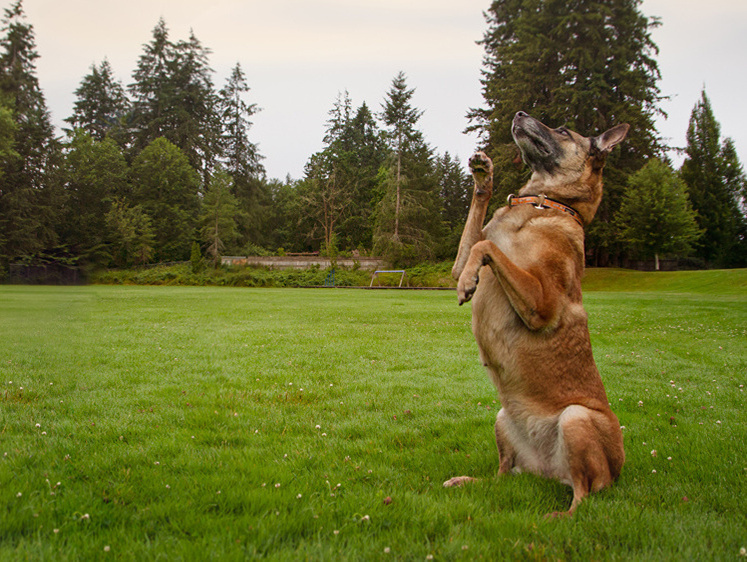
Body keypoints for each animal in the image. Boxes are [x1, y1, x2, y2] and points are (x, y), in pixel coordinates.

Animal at [444, 110, 632, 516]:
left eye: (562, 130)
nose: (519, 114)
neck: (544, 205)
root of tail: (548, 473)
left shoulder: (541, 304)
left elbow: (486, 247)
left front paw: (467, 283)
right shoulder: (466, 255)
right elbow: (475, 241)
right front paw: (484, 177)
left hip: (576, 418)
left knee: (585, 495)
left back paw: (557, 516)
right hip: (502, 419)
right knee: (501, 476)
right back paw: (468, 481)